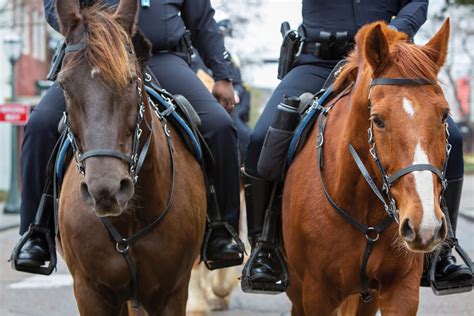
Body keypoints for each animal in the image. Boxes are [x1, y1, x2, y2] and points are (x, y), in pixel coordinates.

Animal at [55, 1, 206, 314]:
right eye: (63, 85)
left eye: (131, 80)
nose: (106, 190)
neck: (130, 221)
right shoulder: (90, 292)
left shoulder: (172, 293)